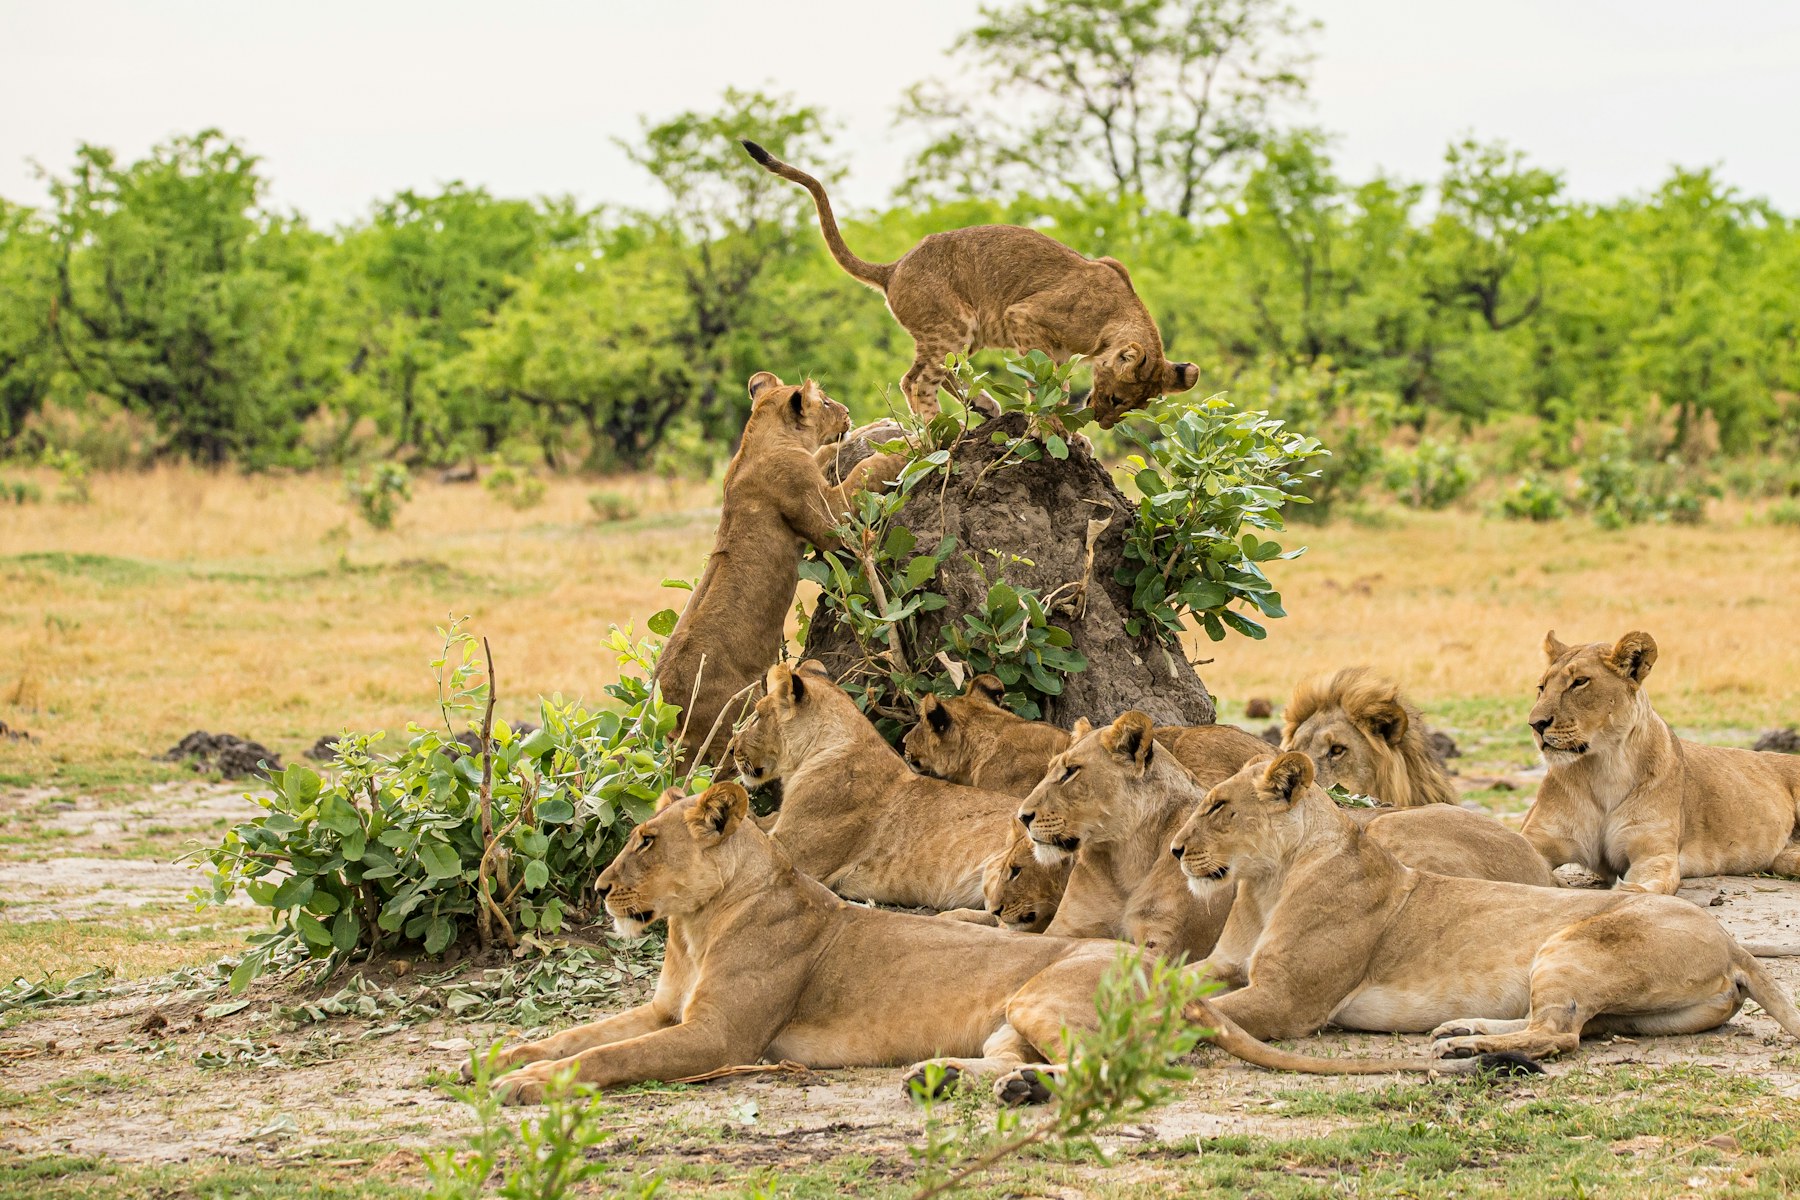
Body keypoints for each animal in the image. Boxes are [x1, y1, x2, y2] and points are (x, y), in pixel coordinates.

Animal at [655, 373, 907, 765]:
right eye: (827, 402)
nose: (848, 412)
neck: (762, 438)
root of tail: (669, 699)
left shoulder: (810, 469)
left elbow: (825, 453)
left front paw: (877, 427)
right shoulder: (827, 520)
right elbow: (863, 474)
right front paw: (902, 449)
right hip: (731, 719)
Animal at [740, 141, 1198, 428]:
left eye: (1130, 408)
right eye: (1119, 400)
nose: (1104, 425)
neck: (1116, 315)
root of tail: (894, 267)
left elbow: (1053, 381)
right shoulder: (1024, 315)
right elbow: (1048, 383)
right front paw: (1058, 429)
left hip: (969, 332)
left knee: (943, 371)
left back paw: (983, 406)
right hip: (953, 322)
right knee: (916, 380)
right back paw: (936, 432)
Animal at [1018, 713, 1556, 958]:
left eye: (1071, 772)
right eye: (1050, 768)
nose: (1022, 816)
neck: (1124, 853)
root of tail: (1535, 863)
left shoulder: (1165, 943)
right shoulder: (1068, 928)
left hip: (1389, 828)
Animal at [1169, 752, 1800, 1062]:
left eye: (1218, 807)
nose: (1174, 850)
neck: (1265, 882)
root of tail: (1733, 941)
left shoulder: (1288, 1001)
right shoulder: (1225, 964)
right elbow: (1170, 976)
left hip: (1572, 946)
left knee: (1559, 1035)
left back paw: (1468, 1047)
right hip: (1635, 1014)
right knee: (1573, 1025)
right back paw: (1462, 1029)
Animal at [1522, 630, 1800, 893]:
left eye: (1579, 682)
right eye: (1542, 687)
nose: (1535, 724)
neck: (1605, 767)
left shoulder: (1653, 848)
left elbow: (1654, 884)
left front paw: (1630, 890)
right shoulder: (1538, 837)